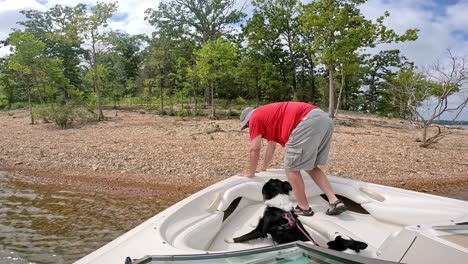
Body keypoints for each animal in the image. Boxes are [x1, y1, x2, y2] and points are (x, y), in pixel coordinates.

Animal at [225, 178, 368, 253]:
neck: (279, 206)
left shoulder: (262, 230)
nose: (265, 181)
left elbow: (245, 236)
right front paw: (252, 222)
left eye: (270, 182)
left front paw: (229, 240)